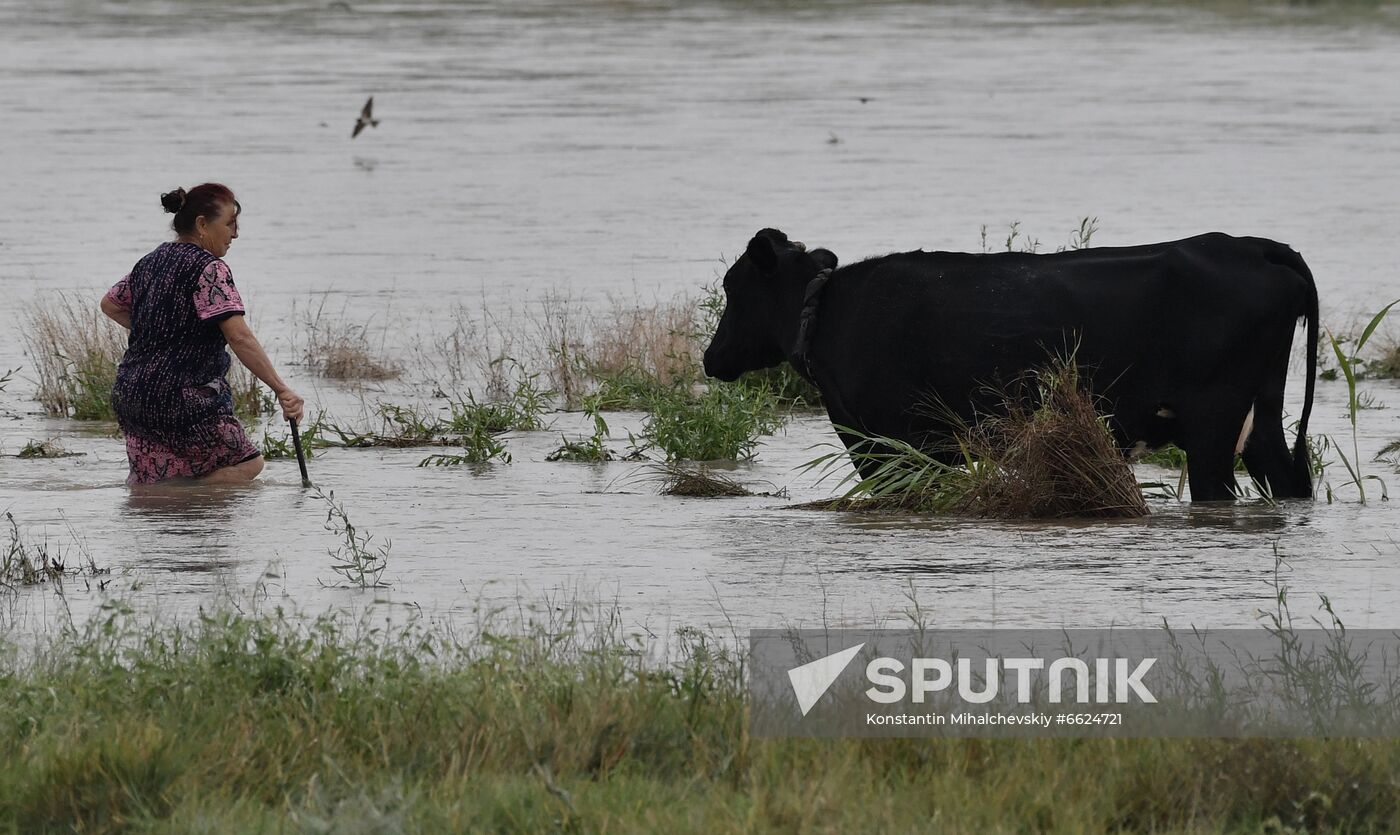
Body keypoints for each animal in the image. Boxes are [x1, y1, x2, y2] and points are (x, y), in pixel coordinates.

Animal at [705, 228, 1316, 501]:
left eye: (733, 287)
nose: (711, 358)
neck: (830, 312)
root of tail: (1250, 244)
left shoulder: (883, 444)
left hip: (1213, 425)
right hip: (1261, 417)